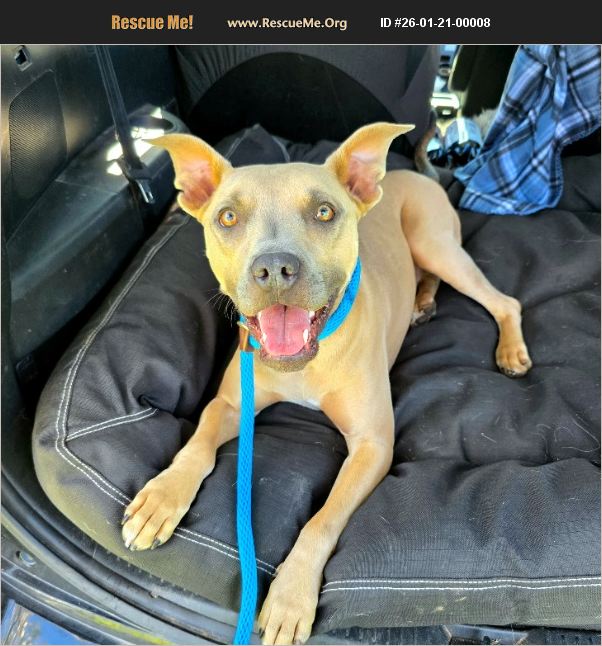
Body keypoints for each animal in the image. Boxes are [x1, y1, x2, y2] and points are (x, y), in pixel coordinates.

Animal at [120, 123, 532, 645]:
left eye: (324, 211)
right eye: (228, 217)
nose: (274, 269)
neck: (306, 361)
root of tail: (413, 175)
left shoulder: (373, 445)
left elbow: (320, 522)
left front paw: (290, 598)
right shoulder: (231, 403)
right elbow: (196, 446)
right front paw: (162, 497)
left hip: (436, 243)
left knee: (504, 301)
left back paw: (510, 351)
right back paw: (421, 304)